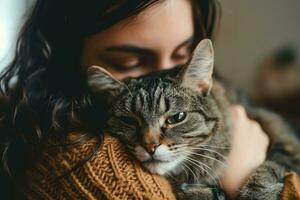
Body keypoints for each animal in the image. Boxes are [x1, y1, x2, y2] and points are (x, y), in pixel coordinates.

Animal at [87, 39, 300, 200]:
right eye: (129, 121)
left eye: (177, 118)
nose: (150, 146)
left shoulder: (281, 131)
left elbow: (275, 164)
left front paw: (256, 193)